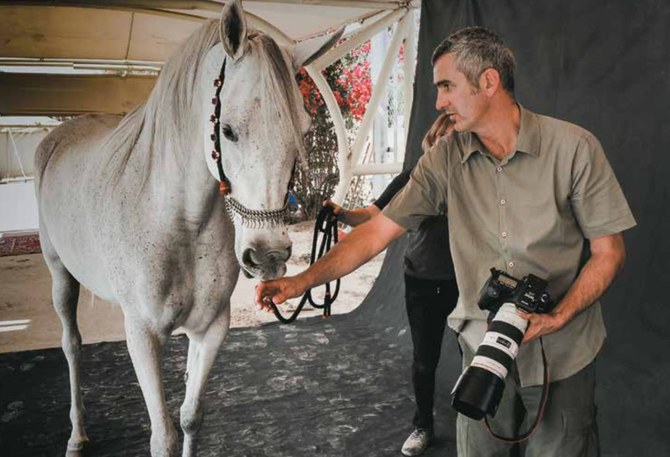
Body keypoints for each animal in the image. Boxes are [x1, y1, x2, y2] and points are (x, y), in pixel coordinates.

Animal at [33, 1, 342, 454]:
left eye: (302, 130)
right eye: (227, 130)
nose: (267, 255)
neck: (180, 222)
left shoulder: (210, 328)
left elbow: (191, 418)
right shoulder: (142, 336)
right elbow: (163, 435)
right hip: (59, 274)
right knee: (71, 347)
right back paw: (77, 435)